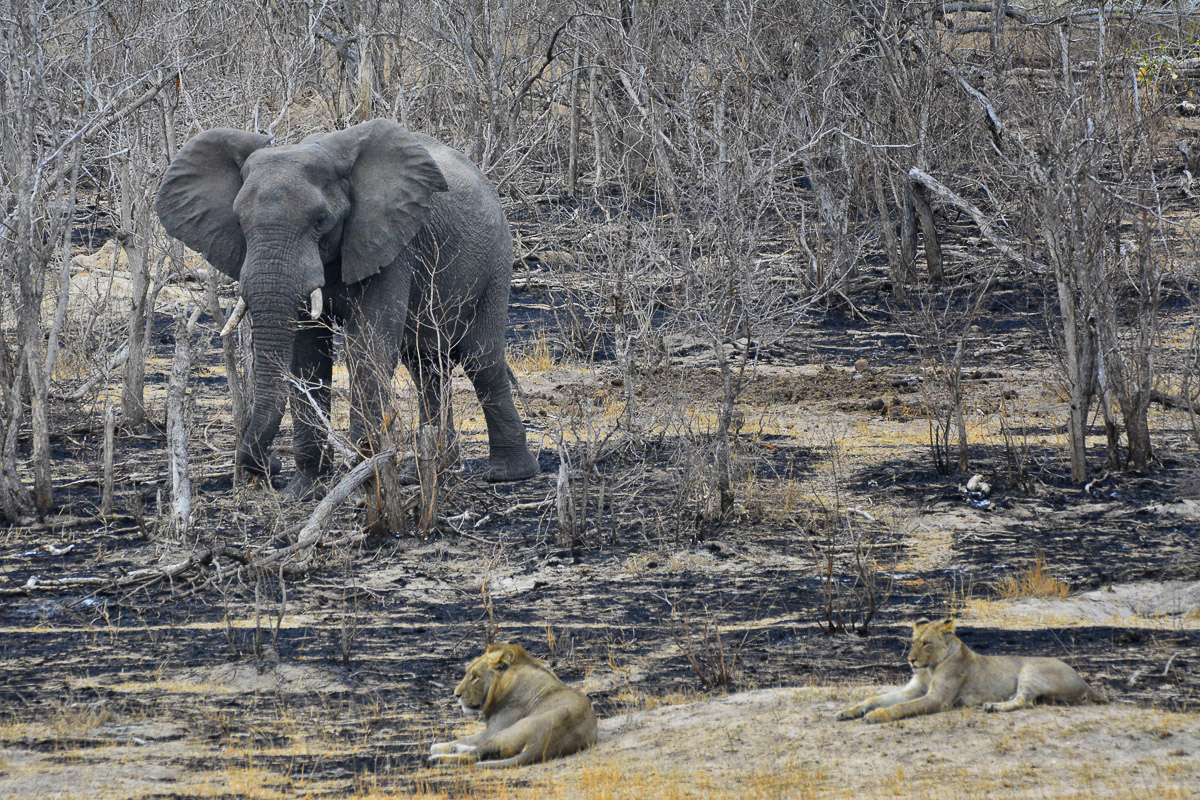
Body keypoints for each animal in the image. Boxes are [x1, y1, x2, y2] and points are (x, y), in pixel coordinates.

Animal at [156, 120, 540, 497]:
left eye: (320, 221)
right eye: (239, 222)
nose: (271, 465)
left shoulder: (391, 243)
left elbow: (367, 349)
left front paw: (363, 482)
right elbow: (307, 358)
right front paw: (306, 491)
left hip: (496, 259)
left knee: (480, 359)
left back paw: (508, 474)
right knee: (425, 364)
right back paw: (427, 474)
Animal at [427, 643, 598, 768]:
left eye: (475, 677)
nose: (456, 694)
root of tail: (543, 743)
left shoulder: (495, 729)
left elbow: (467, 739)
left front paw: (440, 746)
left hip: (505, 733)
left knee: (474, 755)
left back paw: (435, 759)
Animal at [837, 617, 1106, 724]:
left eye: (927, 643)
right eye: (913, 642)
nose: (910, 661)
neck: (930, 668)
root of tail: (1085, 682)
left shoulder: (939, 699)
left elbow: (901, 707)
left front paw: (876, 716)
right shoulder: (913, 690)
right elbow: (875, 698)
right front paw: (848, 711)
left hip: (1030, 667)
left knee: (1025, 701)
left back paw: (994, 706)